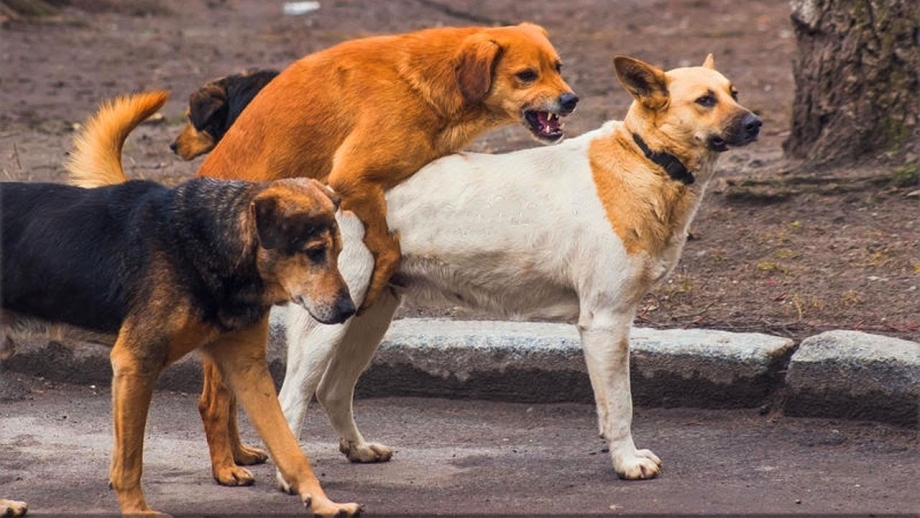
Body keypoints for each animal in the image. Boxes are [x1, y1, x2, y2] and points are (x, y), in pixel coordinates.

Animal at [3, 91, 362, 516]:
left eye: (338, 252)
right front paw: (137, 511)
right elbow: (130, 460)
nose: (349, 311)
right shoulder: (135, 364)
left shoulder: (247, 369)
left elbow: (289, 448)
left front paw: (321, 501)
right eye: (314, 252)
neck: (214, 243)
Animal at [274, 54, 760, 486]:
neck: (647, 160)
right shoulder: (606, 322)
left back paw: (358, 450)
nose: (756, 123)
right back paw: (290, 477)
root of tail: (319, 186)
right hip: (327, 326)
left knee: (332, 391)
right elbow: (619, 406)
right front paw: (626, 462)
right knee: (292, 397)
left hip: (369, 316)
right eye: (704, 100)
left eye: (734, 93)